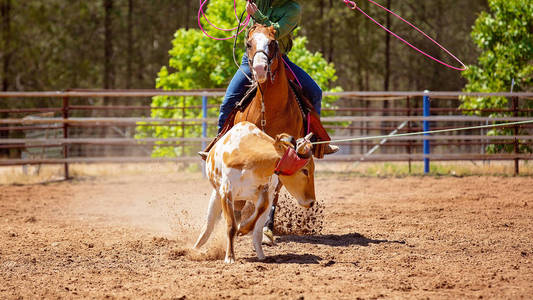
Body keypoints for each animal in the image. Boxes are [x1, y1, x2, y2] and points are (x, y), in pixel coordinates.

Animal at [192, 121, 314, 262]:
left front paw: (243, 229)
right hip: (216, 196)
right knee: (208, 225)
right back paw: (195, 248)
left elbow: (257, 214)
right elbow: (231, 226)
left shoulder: (266, 192)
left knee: (257, 231)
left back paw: (261, 254)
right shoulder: (226, 192)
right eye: (304, 170)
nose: (311, 202)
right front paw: (230, 257)